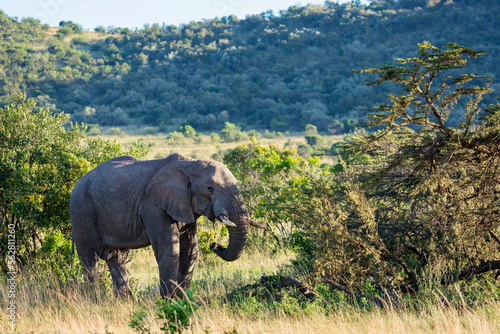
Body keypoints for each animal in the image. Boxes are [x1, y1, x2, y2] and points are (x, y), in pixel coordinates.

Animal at [70, 153, 266, 298]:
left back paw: (124, 302)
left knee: (116, 258)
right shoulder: (153, 206)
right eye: (210, 188)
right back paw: (93, 299)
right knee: (90, 258)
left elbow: (190, 250)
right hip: (82, 210)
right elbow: (169, 249)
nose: (214, 245)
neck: (190, 164)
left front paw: (182, 299)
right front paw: (168, 301)